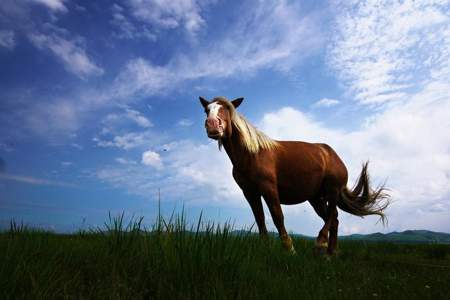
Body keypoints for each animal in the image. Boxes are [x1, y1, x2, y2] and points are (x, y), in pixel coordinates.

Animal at [199, 96, 388, 255]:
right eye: (207, 110)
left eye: (226, 108)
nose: (212, 125)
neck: (251, 154)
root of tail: (332, 154)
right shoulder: (250, 193)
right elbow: (260, 219)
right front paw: (265, 248)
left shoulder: (269, 189)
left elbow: (277, 216)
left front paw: (289, 249)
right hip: (316, 198)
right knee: (333, 219)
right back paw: (330, 254)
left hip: (332, 190)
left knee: (331, 216)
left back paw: (321, 243)